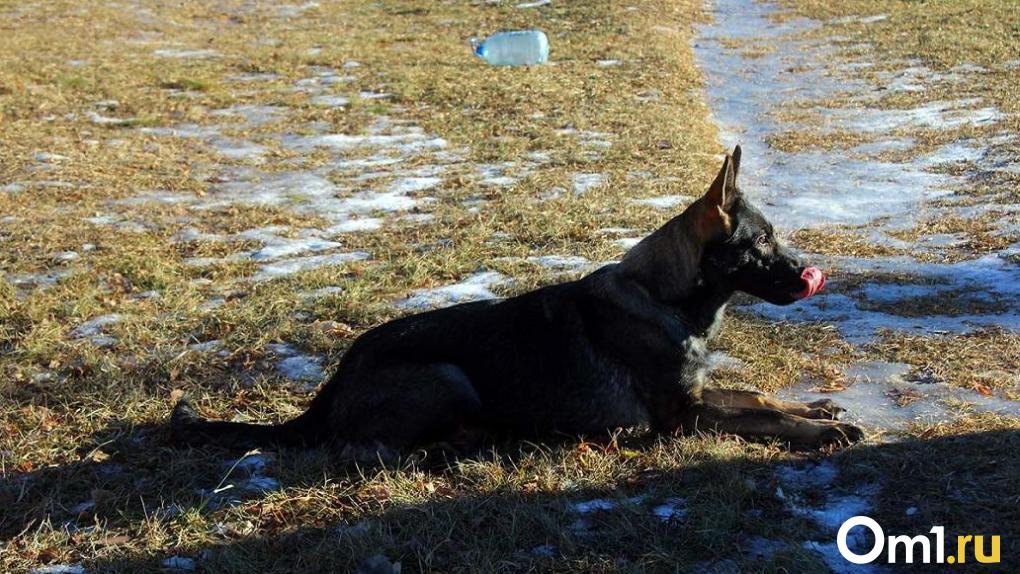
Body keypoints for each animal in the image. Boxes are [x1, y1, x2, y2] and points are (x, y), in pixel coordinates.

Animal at [173, 146, 860, 454]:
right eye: (761, 242)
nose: (811, 276)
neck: (663, 298)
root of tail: (333, 383)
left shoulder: (696, 396)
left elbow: (756, 395)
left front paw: (816, 408)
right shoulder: (679, 419)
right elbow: (762, 419)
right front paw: (820, 429)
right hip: (447, 376)